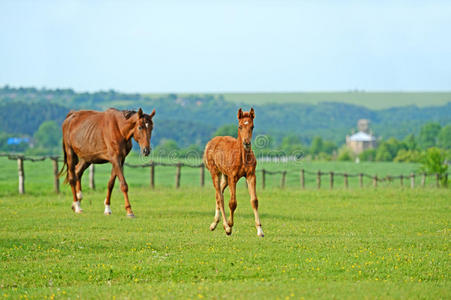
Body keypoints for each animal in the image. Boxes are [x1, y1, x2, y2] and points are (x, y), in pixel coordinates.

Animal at [205, 108, 264, 237]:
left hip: (225, 177)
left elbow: (254, 201)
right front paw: (230, 226)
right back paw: (225, 226)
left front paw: (260, 230)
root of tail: (211, 142)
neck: (242, 157)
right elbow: (232, 203)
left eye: (252, 126)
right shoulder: (233, 177)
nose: (247, 143)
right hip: (215, 172)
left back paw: (214, 224)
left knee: (219, 194)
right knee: (220, 197)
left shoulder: (251, 176)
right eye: (240, 126)